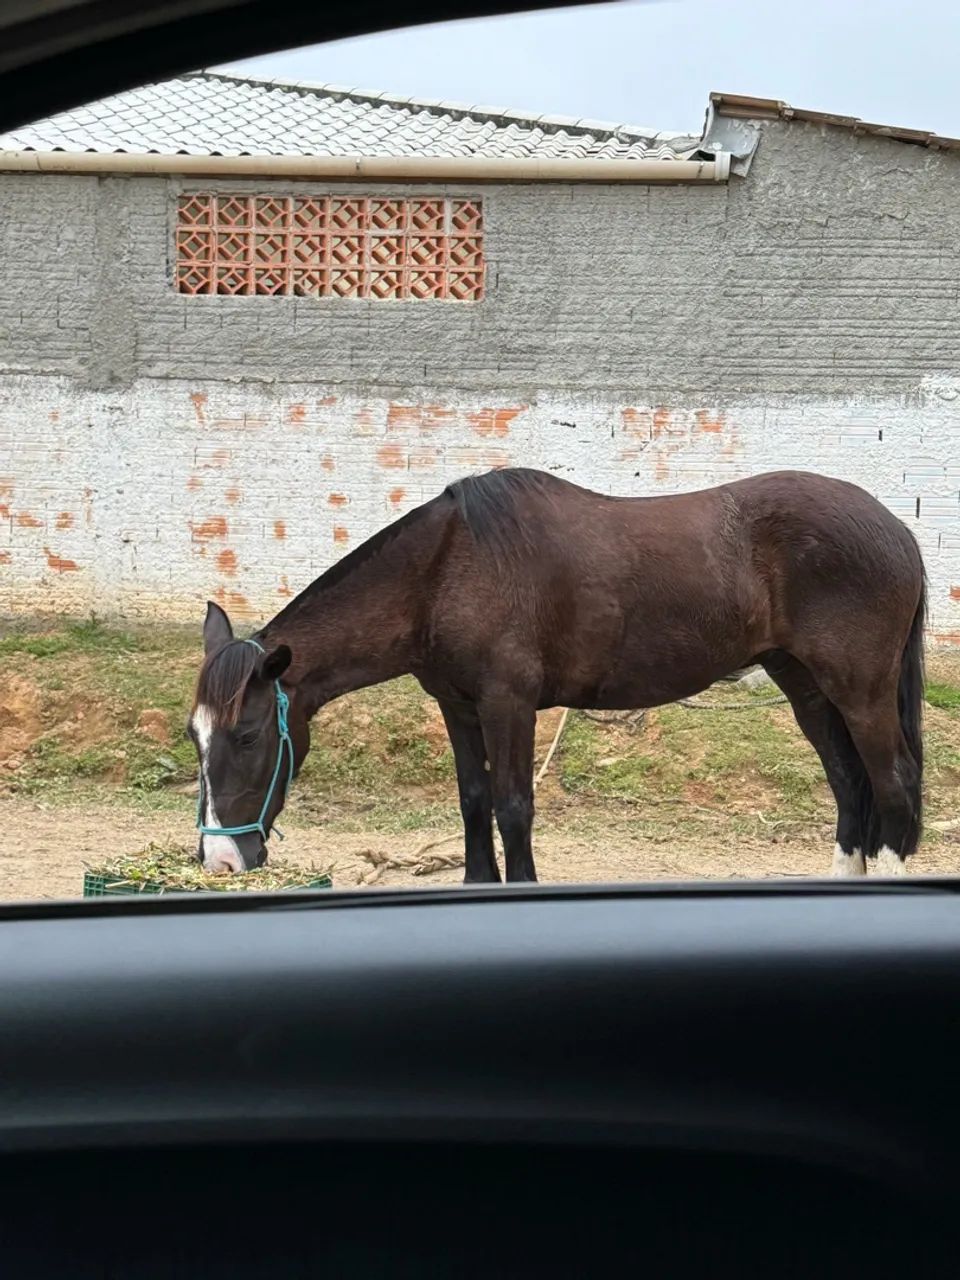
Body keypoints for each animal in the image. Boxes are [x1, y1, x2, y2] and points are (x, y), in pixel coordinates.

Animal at [188, 467, 926, 883]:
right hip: (805, 687)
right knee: (848, 780)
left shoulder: (507, 705)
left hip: (860, 689)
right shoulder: (459, 708)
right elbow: (475, 800)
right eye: (195, 737)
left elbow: (514, 807)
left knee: (890, 780)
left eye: (248, 735)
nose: (220, 860)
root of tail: (894, 526)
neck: (446, 571)